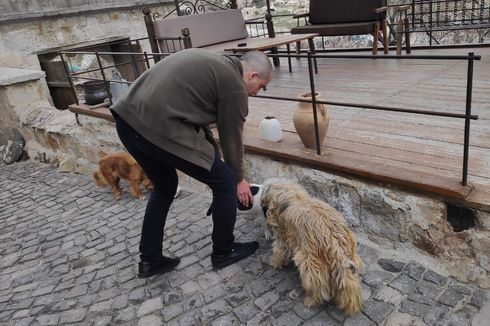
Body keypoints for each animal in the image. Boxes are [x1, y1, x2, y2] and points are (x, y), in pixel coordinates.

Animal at [260, 180, 364, 314]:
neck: (287, 190)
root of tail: (331, 237)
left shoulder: (282, 236)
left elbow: (279, 250)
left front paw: (275, 263)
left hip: (310, 262)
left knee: (317, 284)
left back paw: (311, 300)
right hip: (350, 255)